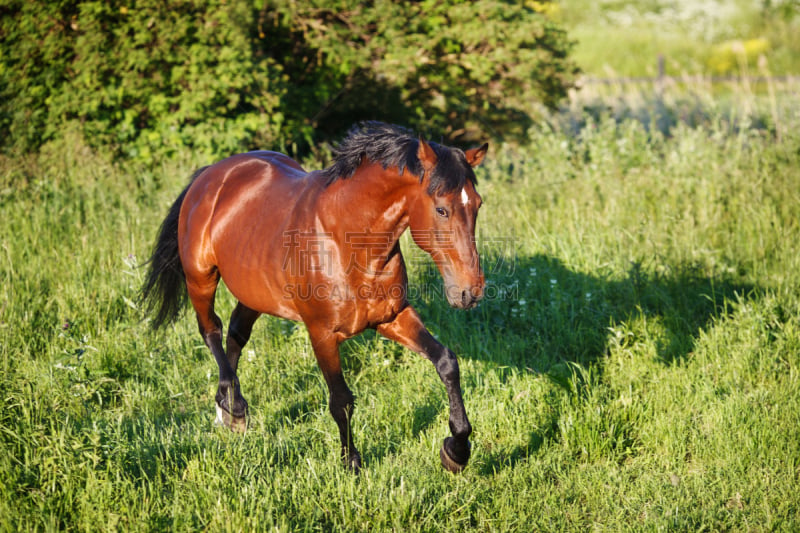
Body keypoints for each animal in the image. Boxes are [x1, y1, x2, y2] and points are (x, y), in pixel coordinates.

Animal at [142, 120, 488, 470]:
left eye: (477, 204)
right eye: (441, 210)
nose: (469, 291)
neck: (348, 243)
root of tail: (212, 175)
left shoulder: (392, 317)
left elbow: (446, 362)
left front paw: (456, 451)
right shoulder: (322, 334)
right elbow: (342, 400)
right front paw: (352, 463)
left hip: (253, 291)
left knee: (236, 333)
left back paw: (228, 410)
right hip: (200, 278)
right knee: (210, 328)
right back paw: (234, 407)